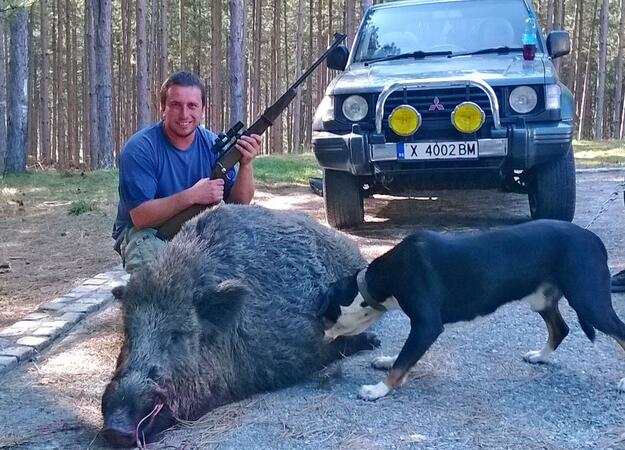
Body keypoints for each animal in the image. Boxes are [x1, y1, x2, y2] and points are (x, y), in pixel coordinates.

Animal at [320, 220, 624, 400]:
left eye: (324, 314)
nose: (319, 334)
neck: (386, 276)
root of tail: (593, 238)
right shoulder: (420, 329)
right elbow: (405, 356)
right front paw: (387, 360)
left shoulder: (427, 325)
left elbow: (403, 361)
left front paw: (378, 389)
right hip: (542, 299)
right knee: (560, 329)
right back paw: (539, 356)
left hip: (589, 300)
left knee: (618, 331)